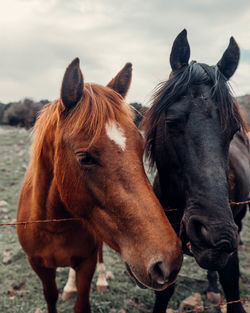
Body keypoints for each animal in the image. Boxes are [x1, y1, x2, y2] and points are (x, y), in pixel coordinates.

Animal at [17, 58, 182, 312]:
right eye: (84, 157)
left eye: (141, 146)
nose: (168, 262)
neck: (54, 226)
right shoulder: (40, 267)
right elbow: (51, 297)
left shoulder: (87, 263)